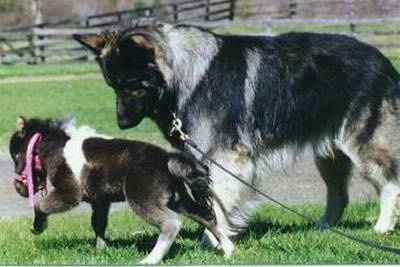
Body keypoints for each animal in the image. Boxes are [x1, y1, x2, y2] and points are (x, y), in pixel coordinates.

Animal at [9, 118, 233, 266]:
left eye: (14, 156)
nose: (18, 188)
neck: (56, 149)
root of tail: (167, 160)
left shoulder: (71, 189)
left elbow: (41, 205)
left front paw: (37, 227)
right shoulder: (100, 200)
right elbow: (98, 223)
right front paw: (100, 250)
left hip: (141, 198)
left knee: (172, 223)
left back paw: (150, 259)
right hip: (178, 199)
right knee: (206, 217)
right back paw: (228, 250)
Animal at [74, 18, 400, 247]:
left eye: (133, 84)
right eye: (113, 86)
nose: (121, 124)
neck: (187, 74)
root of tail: (382, 60)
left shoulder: (225, 159)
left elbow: (218, 203)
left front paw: (213, 242)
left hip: (361, 146)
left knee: (389, 183)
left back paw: (382, 227)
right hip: (329, 154)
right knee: (339, 195)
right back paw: (322, 227)